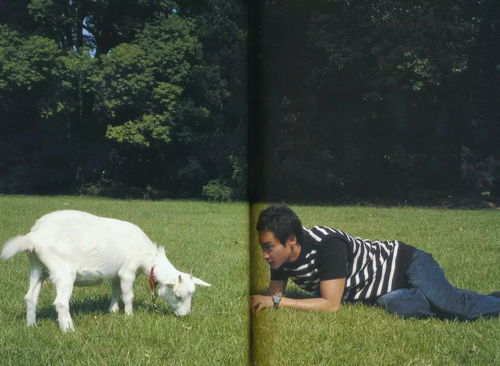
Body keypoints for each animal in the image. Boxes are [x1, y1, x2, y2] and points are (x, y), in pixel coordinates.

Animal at [0, 209, 211, 332]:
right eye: (177, 296)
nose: (184, 316)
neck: (148, 257)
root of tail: (34, 237)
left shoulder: (115, 275)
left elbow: (116, 292)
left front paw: (113, 311)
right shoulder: (127, 271)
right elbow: (128, 296)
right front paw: (129, 316)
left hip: (37, 267)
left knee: (30, 297)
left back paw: (31, 325)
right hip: (63, 271)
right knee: (60, 302)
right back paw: (69, 330)